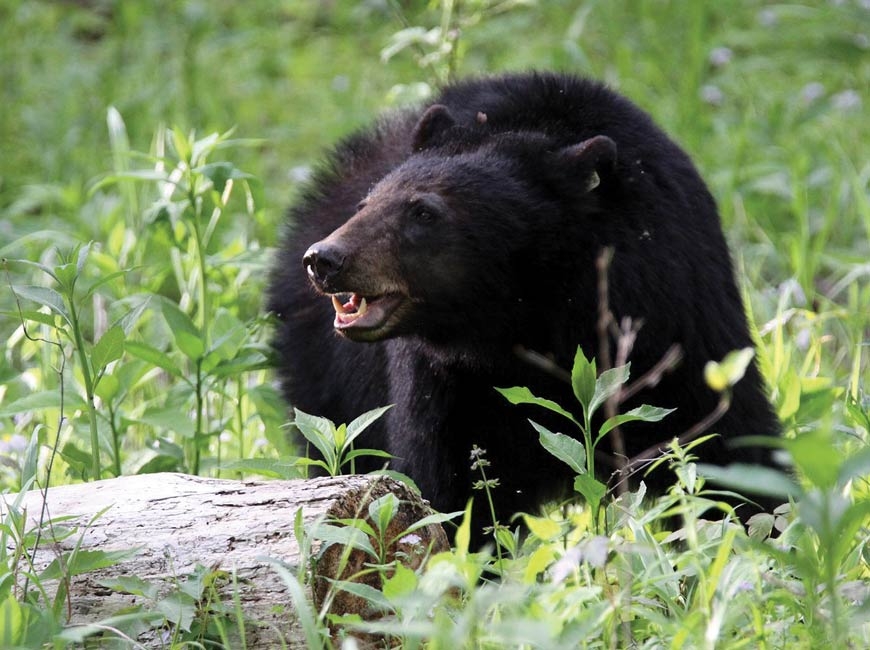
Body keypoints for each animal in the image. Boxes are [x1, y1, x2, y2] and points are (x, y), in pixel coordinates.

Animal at [268, 71, 784, 528]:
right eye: (368, 203)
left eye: (424, 211)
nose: (325, 259)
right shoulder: (446, 384)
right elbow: (448, 485)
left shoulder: (676, 320)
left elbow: (728, 446)